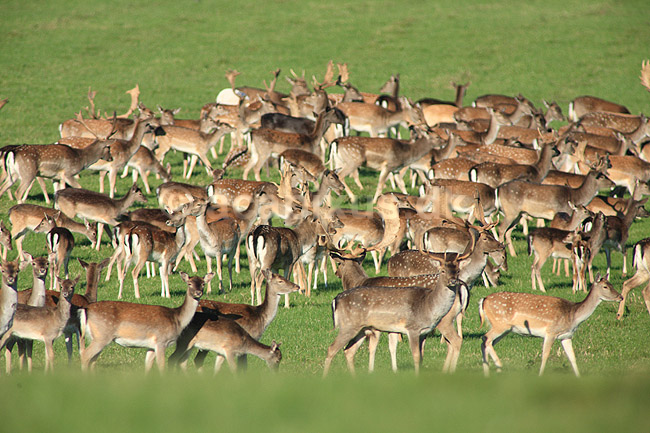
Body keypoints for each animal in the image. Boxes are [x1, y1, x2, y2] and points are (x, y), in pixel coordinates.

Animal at [479, 275, 622, 377]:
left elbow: (572, 357)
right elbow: (545, 356)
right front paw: (540, 375)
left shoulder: (566, 336)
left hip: (505, 328)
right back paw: (498, 366)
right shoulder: (551, 332)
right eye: (605, 286)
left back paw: (489, 371)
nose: (620, 297)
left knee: (486, 341)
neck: (573, 315)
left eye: (611, 284)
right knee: (486, 338)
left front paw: (578, 377)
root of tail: (483, 300)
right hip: (500, 324)